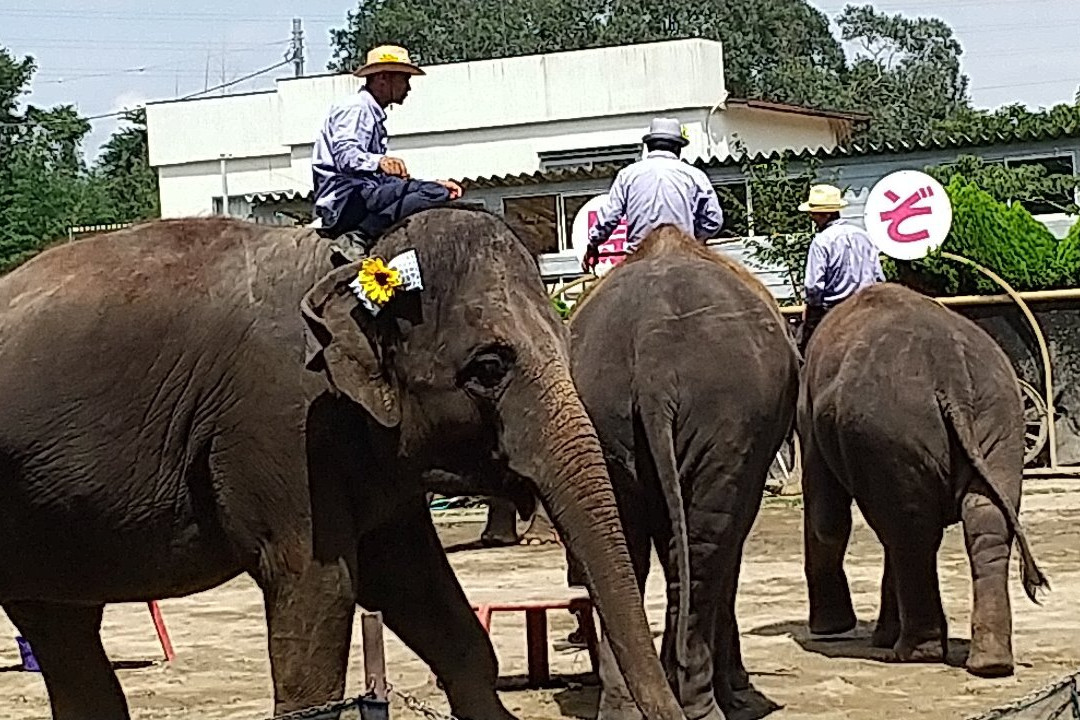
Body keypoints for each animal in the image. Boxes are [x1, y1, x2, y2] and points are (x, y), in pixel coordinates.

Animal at [0, 209, 687, 720]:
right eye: (488, 368)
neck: (349, 266)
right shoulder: (280, 426)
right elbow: (319, 595)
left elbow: (435, 611)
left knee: (63, 631)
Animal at [567, 227, 800, 720]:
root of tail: (652, 354)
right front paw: (741, 692)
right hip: (728, 415)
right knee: (705, 546)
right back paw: (703, 706)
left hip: (602, 411)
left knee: (628, 545)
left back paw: (625, 708)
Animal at [798, 282, 1049, 677]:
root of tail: (951, 372)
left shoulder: (808, 417)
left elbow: (827, 519)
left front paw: (834, 631)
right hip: (1001, 416)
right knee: (979, 519)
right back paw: (990, 664)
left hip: (894, 429)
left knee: (910, 533)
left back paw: (914, 654)